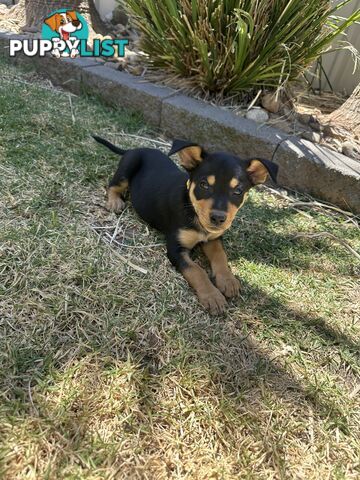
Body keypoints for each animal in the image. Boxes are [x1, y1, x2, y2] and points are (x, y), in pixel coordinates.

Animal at [93, 137, 278, 314]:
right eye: (204, 185)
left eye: (238, 191)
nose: (218, 218)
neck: (193, 211)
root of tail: (136, 149)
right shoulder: (176, 249)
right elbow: (196, 270)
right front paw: (212, 296)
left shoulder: (213, 239)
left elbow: (220, 256)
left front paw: (228, 280)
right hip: (128, 166)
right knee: (113, 185)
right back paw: (115, 202)